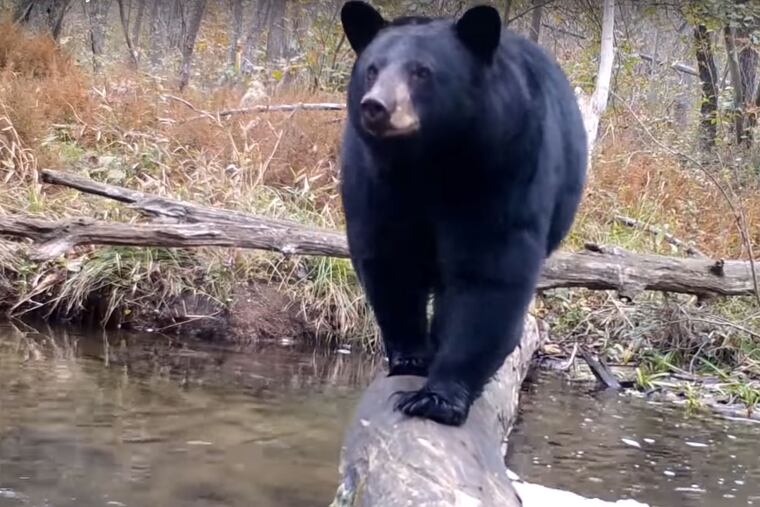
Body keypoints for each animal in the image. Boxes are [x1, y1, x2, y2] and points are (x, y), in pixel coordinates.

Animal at [338, 1, 588, 427]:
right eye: (372, 68)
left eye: (421, 71)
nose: (375, 106)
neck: (428, 161)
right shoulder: (375, 182)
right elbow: (388, 258)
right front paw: (411, 357)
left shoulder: (506, 168)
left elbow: (489, 274)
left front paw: (436, 397)